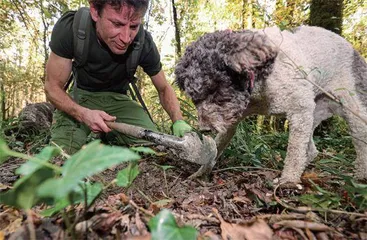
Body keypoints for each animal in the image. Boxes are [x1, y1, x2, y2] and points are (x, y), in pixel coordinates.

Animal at [175, 25, 367, 184]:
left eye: (215, 89)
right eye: (194, 99)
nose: (205, 129)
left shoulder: (300, 109)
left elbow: (294, 151)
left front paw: (288, 179)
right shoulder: (232, 119)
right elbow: (217, 145)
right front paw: (200, 172)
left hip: (352, 108)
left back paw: (359, 176)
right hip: (315, 113)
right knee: (312, 149)